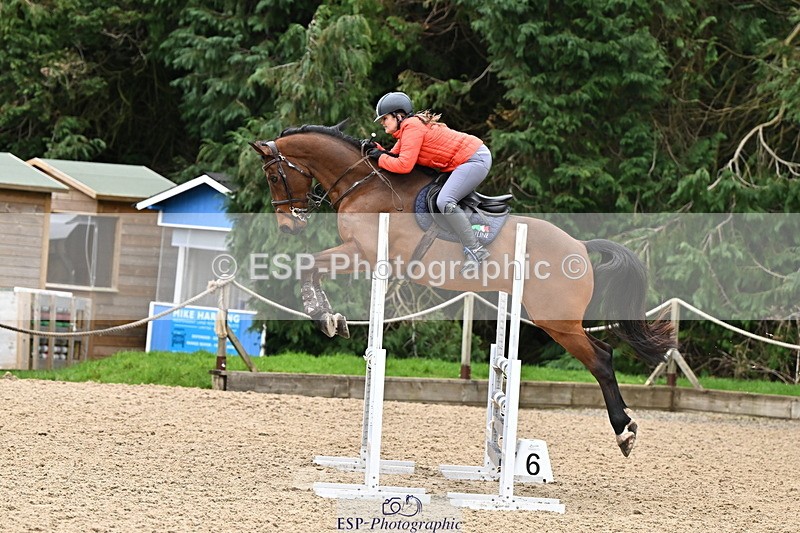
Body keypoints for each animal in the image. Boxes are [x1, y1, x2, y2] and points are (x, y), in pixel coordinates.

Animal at [249, 122, 676, 457]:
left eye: (273, 177)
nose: (288, 227)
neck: (363, 184)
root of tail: (581, 247)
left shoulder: (363, 253)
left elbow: (308, 265)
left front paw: (324, 318)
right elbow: (311, 267)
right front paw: (331, 318)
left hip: (556, 320)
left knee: (601, 358)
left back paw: (625, 432)